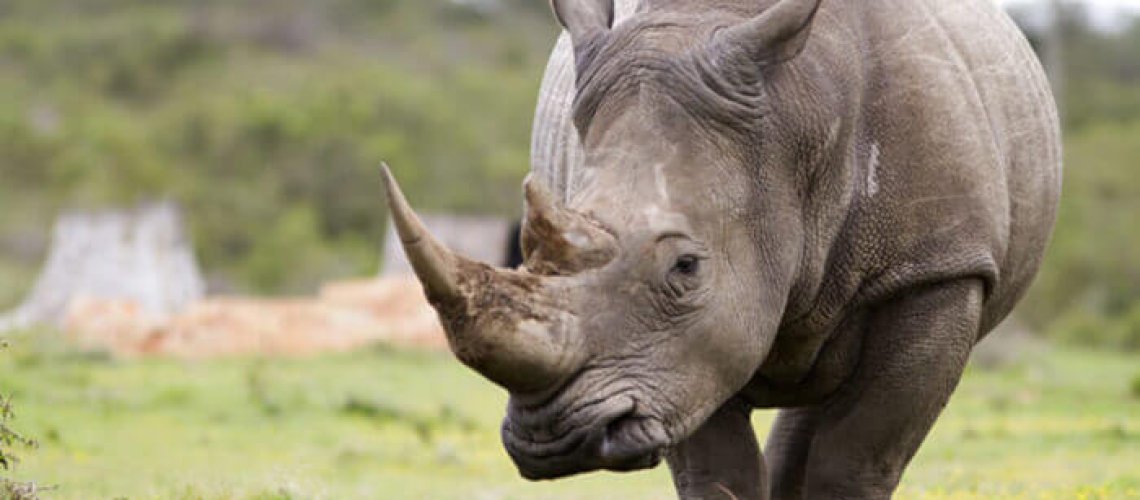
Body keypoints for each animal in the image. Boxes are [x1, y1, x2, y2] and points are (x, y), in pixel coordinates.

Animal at [381, 0, 1061, 497]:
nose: (554, 438)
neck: (793, 123)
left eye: (687, 267)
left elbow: (857, 460)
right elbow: (716, 470)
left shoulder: (937, 268)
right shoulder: (677, 359)